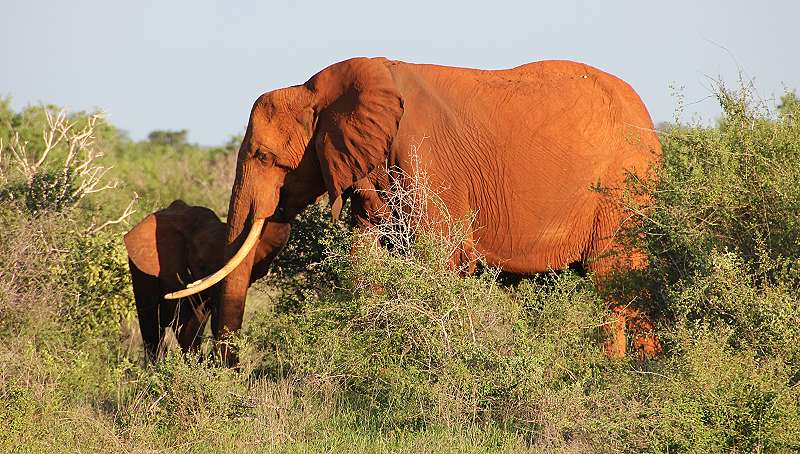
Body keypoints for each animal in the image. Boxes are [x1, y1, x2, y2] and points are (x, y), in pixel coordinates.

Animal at [166, 57, 660, 362]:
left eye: (264, 157)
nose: (228, 369)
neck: (317, 88)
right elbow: (364, 261)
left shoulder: (427, 161)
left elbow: (437, 259)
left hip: (623, 187)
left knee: (616, 281)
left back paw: (623, 376)